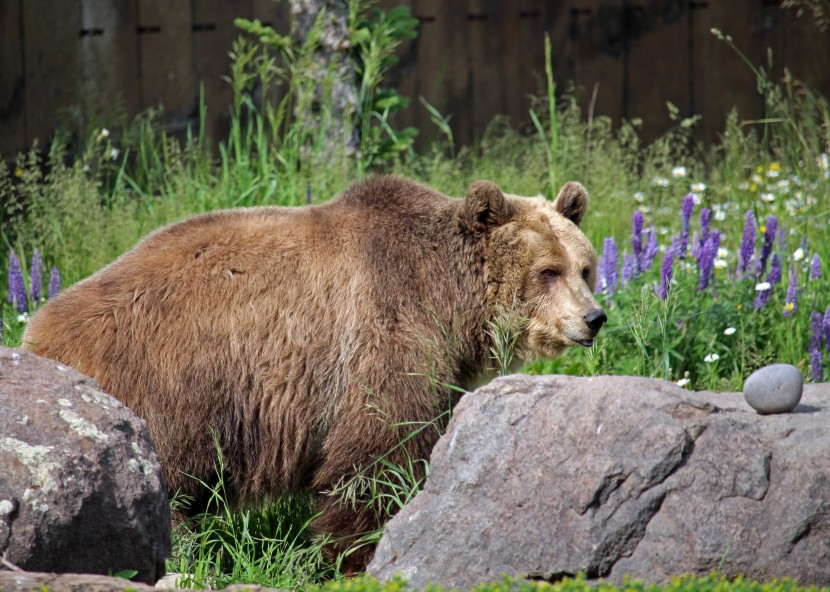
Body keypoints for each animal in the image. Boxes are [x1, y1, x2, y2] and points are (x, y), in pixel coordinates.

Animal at [19, 175, 604, 568]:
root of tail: (36, 334)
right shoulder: (383, 335)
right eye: (547, 271)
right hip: (164, 391)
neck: (449, 300)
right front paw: (353, 555)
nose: (594, 318)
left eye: (584, 266)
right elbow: (374, 460)